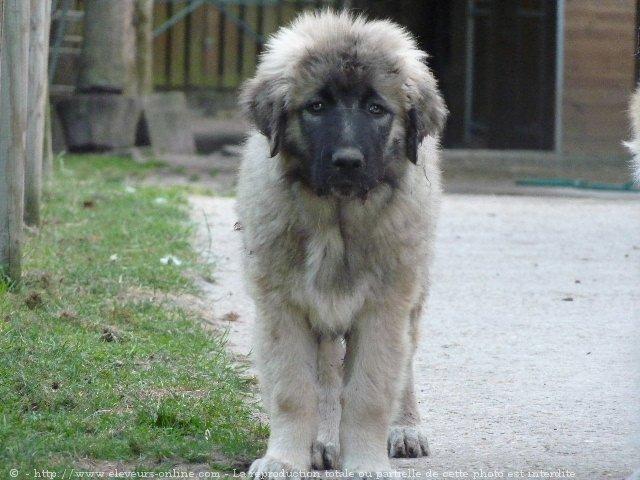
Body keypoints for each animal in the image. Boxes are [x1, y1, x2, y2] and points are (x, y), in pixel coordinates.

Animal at [238, 11, 448, 476]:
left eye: (376, 109)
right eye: (316, 107)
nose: (348, 162)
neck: (337, 221)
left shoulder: (383, 308)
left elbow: (371, 392)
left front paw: (367, 462)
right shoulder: (283, 308)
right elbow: (294, 391)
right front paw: (283, 459)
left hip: (415, 289)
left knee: (404, 367)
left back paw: (404, 428)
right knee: (328, 377)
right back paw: (324, 440)